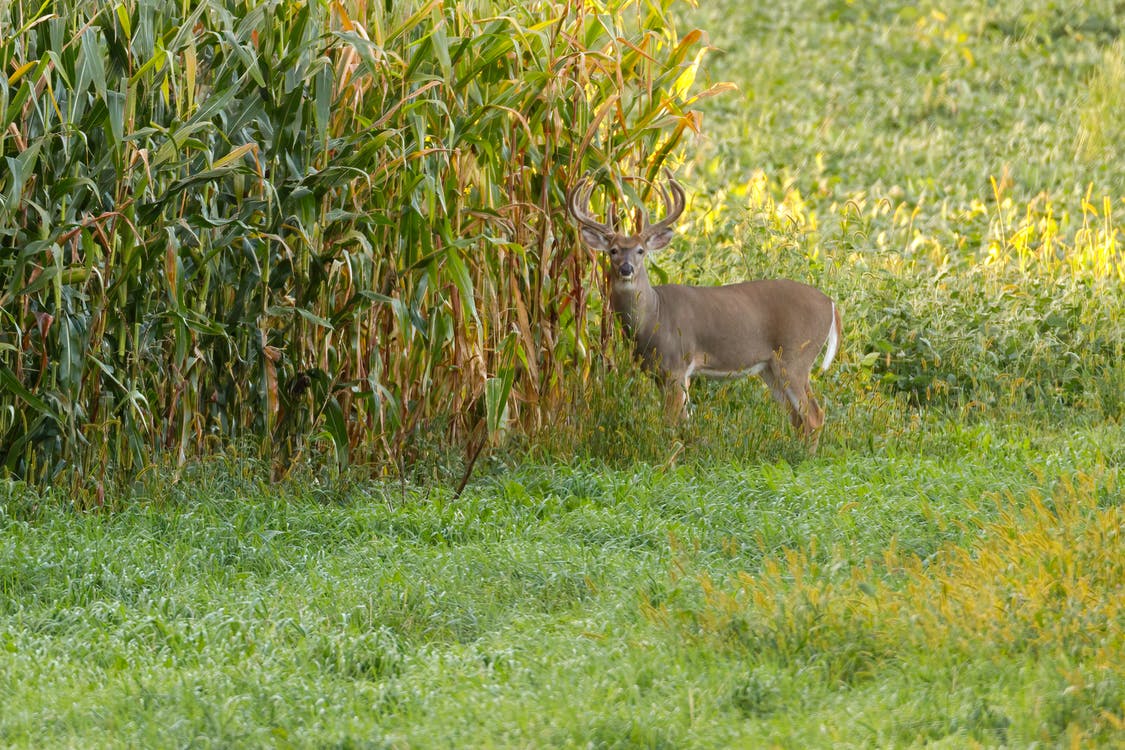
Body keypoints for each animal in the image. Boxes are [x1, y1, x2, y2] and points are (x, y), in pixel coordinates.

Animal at [571, 173, 846, 449]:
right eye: (613, 250)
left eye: (641, 250)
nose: (626, 268)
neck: (654, 316)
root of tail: (831, 304)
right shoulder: (658, 372)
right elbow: (684, 421)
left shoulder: (677, 364)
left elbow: (671, 422)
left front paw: (668, 455)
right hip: (771, 367)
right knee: (797, 417)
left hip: (796, 355)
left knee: (813, 415)